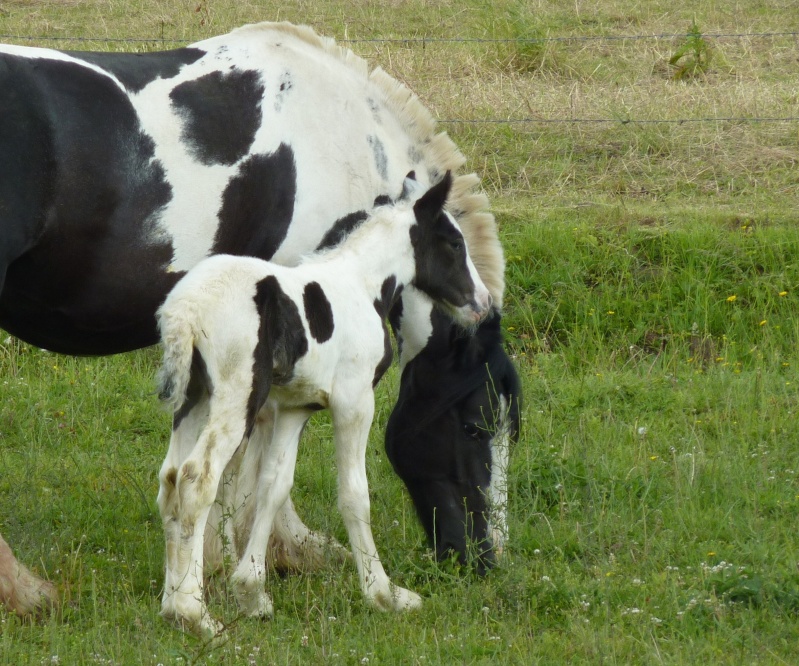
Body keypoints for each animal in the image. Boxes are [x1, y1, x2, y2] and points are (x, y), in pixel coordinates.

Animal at [155, 174, 494, 636]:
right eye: (454, 243)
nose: (483, 303)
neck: (361, 286)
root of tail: (186, 311)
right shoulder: (355, 402)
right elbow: (354, 494)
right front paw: (384, 593)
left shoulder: (294, 408)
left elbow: (272, 486)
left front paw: (253, 593)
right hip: (236, 398)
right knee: (196, 481)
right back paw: (195, 614)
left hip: (194, 398)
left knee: (171, 479)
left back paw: (172, 606)